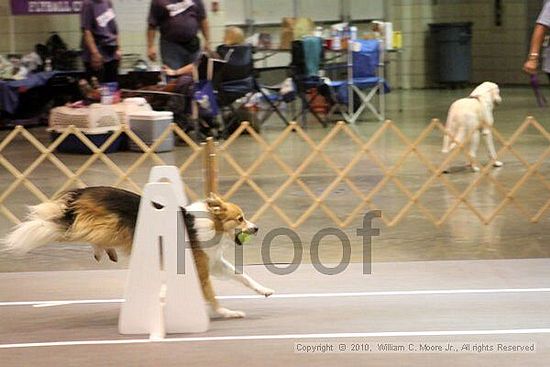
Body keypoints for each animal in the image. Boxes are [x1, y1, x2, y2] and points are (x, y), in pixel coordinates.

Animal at [1, 188, 274, 318]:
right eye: (240, 218)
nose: (256, 228)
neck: (210, 224)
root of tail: (84, 191)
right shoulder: (201, 271)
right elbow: (212, 297)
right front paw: (227, 313)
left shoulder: (213, 264)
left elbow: (243, 276)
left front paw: (265, 290)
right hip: (108, 224)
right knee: (69, 229)